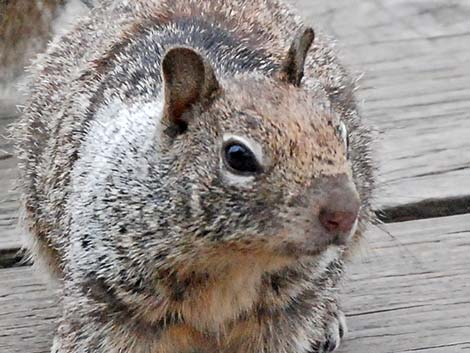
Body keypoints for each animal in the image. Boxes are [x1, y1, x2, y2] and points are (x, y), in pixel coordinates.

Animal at [13, 0, 374, 352]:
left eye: (341, 134)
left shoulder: (286, 312)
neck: (234, 263)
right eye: (238, 156)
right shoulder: (106, 298)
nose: (344, 214)